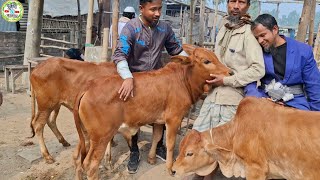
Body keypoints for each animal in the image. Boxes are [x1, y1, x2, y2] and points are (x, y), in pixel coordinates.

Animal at [72, 46, 230, 179]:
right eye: (206, 61)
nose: (230, 72)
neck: (183, 79)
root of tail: (88, 87)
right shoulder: (174, 119)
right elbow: (170, 144)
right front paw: (170, 168)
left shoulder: (159, 120)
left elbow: (157, 137)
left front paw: (152, 158)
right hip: (101, 137)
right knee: (90, 166)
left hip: (87, 135)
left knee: (78, 160)